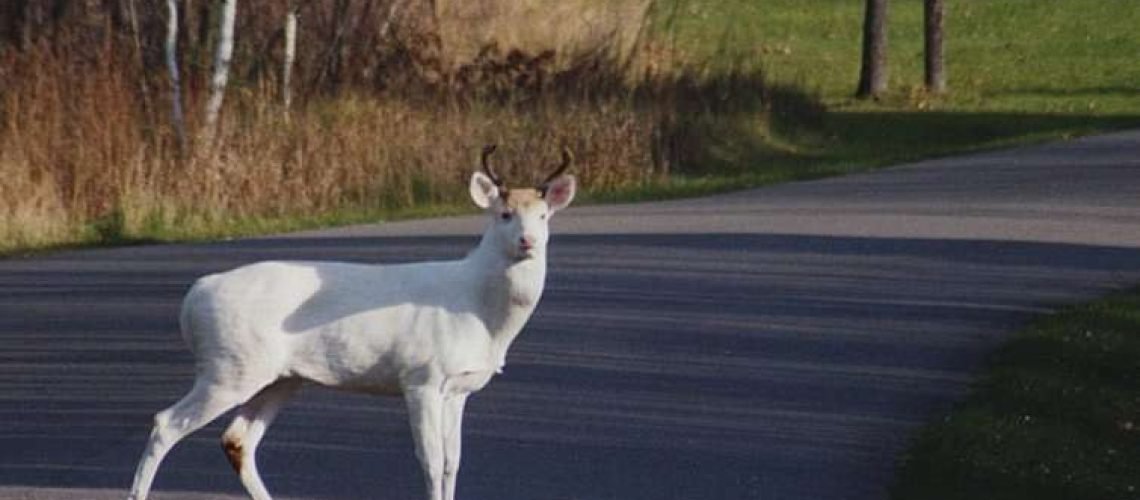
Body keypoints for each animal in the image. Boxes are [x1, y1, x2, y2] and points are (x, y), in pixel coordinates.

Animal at [127, 145, 577, 500]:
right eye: (504, 214)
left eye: (543, 216)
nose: (527, 241)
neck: (477, 309)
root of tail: (195, 295)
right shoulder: (421, 376)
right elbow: (431, 461)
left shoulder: (459, 388)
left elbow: (453, 462)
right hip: (228, 367)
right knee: (166, 423)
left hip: (275, 377)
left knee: (237, 440)